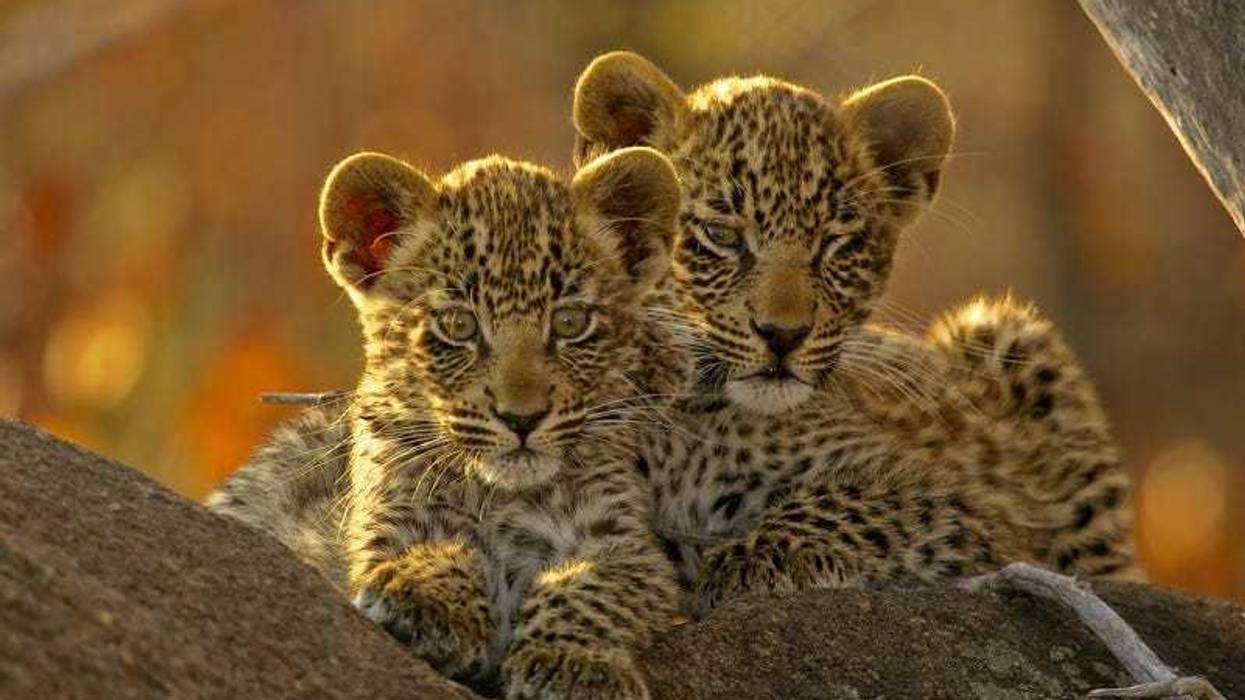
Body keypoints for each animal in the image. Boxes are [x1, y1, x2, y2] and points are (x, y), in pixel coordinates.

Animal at [208, 146, 692, 699]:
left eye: (570, 322)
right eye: (458, 325)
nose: (521, 418)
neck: (503, 494)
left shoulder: (624, 544)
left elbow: (589, 587)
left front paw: (577, 667)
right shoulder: (391, 517)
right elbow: (435, 551)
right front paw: (427, 604)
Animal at [570, 51, 1138, 616]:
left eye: (837, 242)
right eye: (721, 235)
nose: (783, 335)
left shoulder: (972, 508)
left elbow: (852, 505)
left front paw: (745, 561)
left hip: (1004, 332)